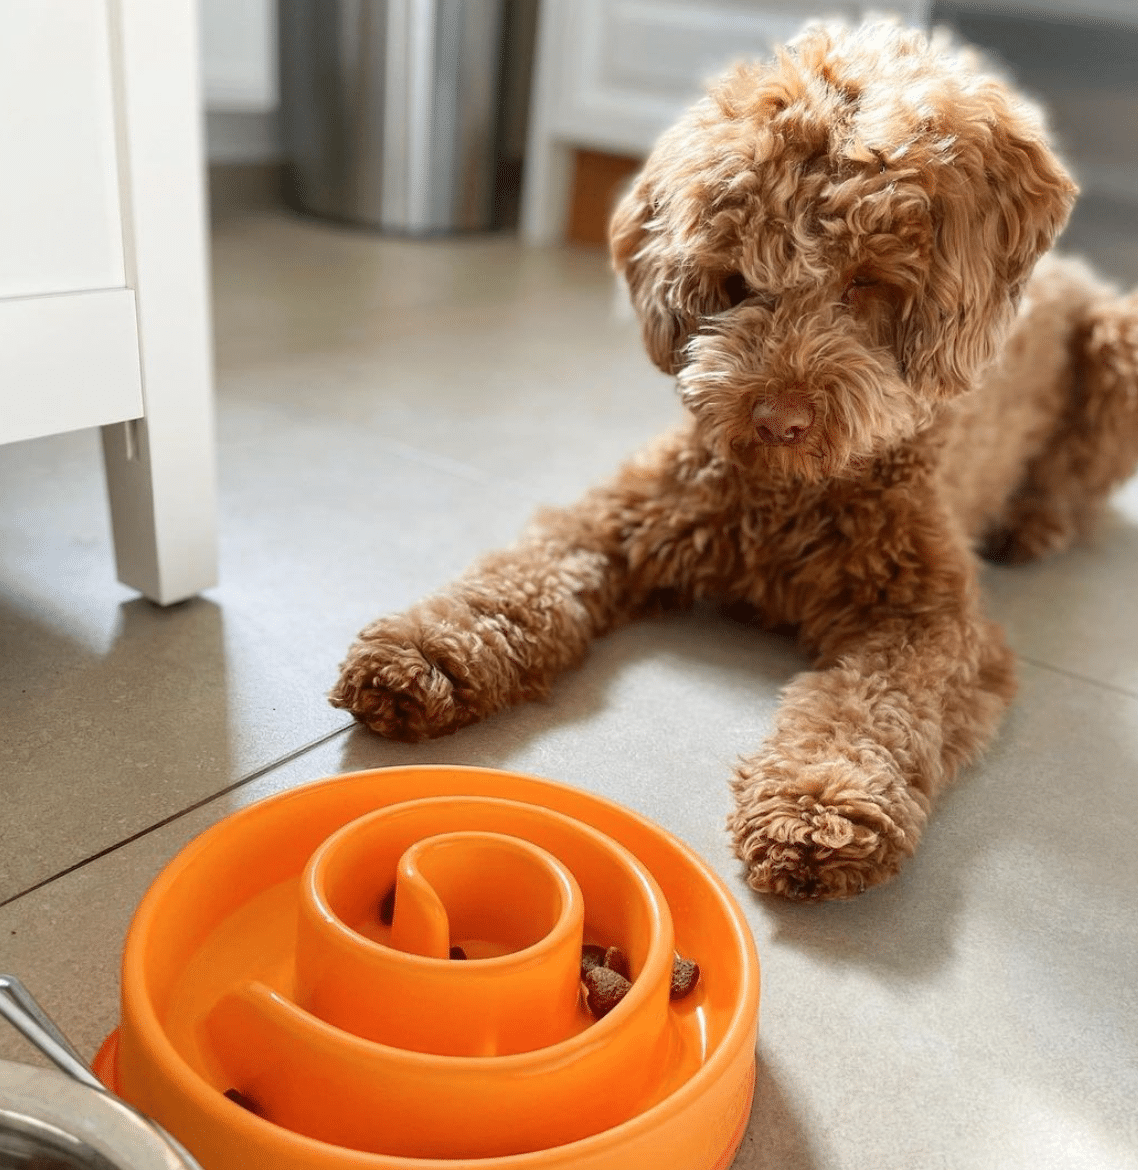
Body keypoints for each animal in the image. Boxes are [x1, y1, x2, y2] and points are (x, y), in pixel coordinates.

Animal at [329, 18, 1136, 898]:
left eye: (866, 283)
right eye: (739, 278)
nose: (780, 419)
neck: (788, 498)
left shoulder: (930, 623)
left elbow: (869, 709)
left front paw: (817, 806)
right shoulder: (619, 519)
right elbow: (518, 580)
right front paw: (426, 651)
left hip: (1118, 346)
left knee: (1078, 485)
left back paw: (1035, 523)